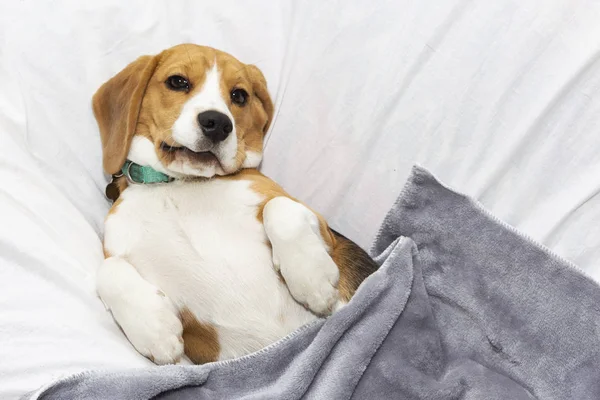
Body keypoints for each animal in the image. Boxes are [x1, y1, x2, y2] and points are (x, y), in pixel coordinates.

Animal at [93, 43, 376, 366]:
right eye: (177, 82)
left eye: (240, 95)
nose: (217, 123)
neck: (179, 185)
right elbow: (108, 270)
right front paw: (156, 331)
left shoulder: (322, 226)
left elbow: (279, 207)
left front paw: (312, 281)